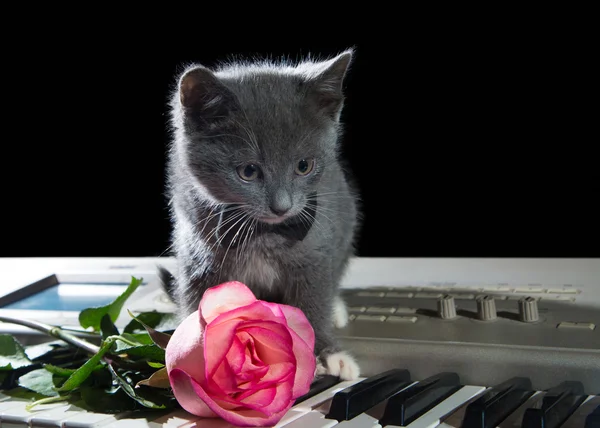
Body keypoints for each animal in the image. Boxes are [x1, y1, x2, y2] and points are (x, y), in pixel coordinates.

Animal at [158, 50, 360, 382]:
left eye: (304, 166)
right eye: (248, 172)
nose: (282, 207)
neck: (262, 233)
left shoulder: (314, 249)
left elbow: (313, 301)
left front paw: (329, 355)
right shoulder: (197, 253)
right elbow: (195, 305)